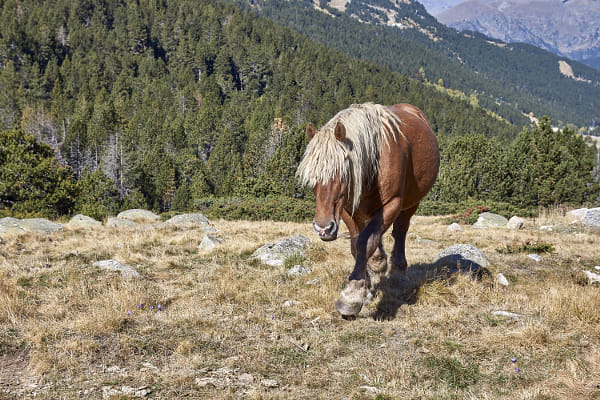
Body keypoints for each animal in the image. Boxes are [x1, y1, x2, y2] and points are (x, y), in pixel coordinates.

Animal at [296, 103, 440, 317]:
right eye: (312, 178)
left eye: (342, 173)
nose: (323, 229)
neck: (374, 160)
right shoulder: (346, 209)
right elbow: (357, 245)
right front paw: (367, 287)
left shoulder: (391, 204)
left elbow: (366, 241)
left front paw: (352, 296)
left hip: (411, 203)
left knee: (400, 231)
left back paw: (398, 273)